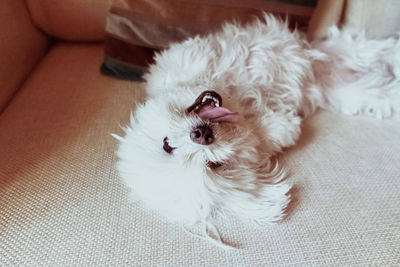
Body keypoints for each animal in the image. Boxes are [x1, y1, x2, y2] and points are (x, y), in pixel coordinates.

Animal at [112, 15, 400, 242]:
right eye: (214, 165)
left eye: (166, 146)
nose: (201, 136)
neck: (241, 102)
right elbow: (271, 134)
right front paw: (283, 126)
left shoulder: (172, 67)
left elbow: (178, 65)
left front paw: (198, 62)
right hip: (350, 90)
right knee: (380, 88)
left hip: (336, 50)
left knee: (375, 48)